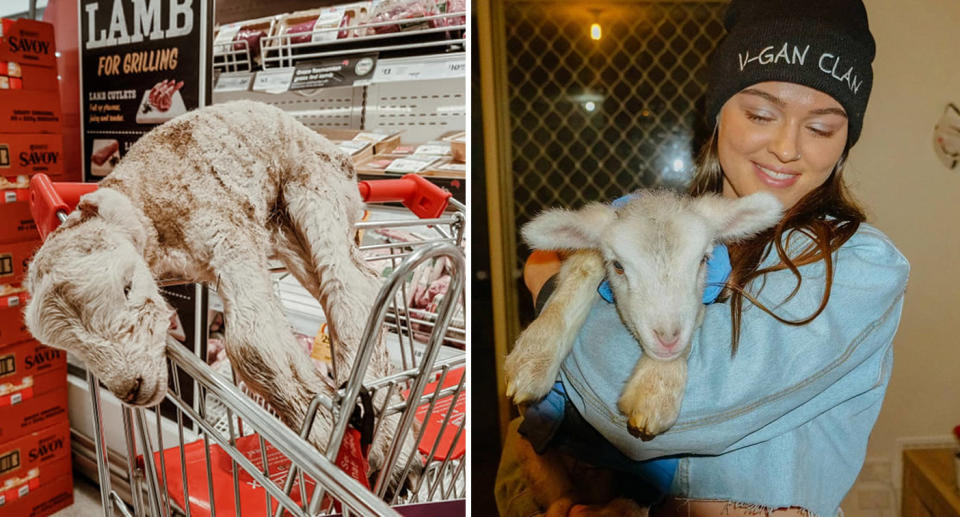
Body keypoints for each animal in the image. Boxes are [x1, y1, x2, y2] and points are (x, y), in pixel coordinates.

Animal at [22, 100, 418, 484]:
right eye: (71, 347)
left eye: (127, 286)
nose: (130, 389)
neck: (149, 197)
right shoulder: (239, 237)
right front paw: (316, 412)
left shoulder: (225, 230)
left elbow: (251, 343)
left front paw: (319, 433)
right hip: (280, 226)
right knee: (342, 286)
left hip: (315, 185)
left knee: (352, 286)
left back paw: (386, 445)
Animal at [502, 189, 780, 440]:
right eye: (617, 266)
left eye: (704, 260)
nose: (668, 338)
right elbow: (583, 268)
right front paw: (533, 359)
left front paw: (655, 389)